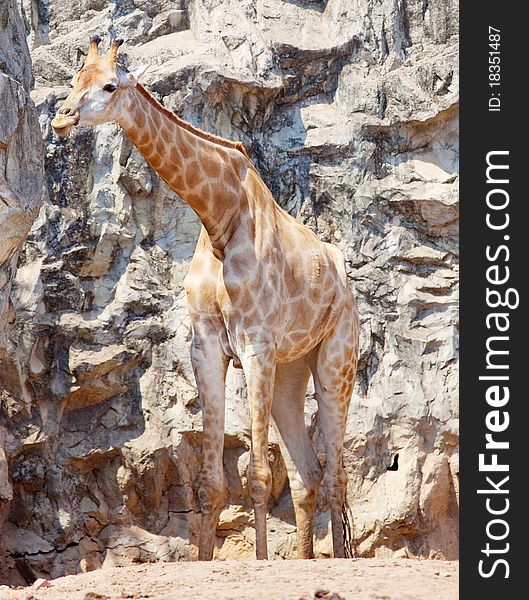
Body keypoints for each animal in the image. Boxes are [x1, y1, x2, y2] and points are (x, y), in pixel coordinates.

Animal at [51, 38, 358, 564]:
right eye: (74, 80)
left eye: (109, 85)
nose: (61, 117)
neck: (220, 217)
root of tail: (345, 279)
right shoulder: (208, 345)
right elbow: (211, 481)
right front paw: (204, 558)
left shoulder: (255, 345)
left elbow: (256, 474)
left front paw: (260, 561)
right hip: (291, 369)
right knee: (308, 473)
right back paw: (305, 558)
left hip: (336, 362)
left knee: (336, 473)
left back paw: (336, 561)